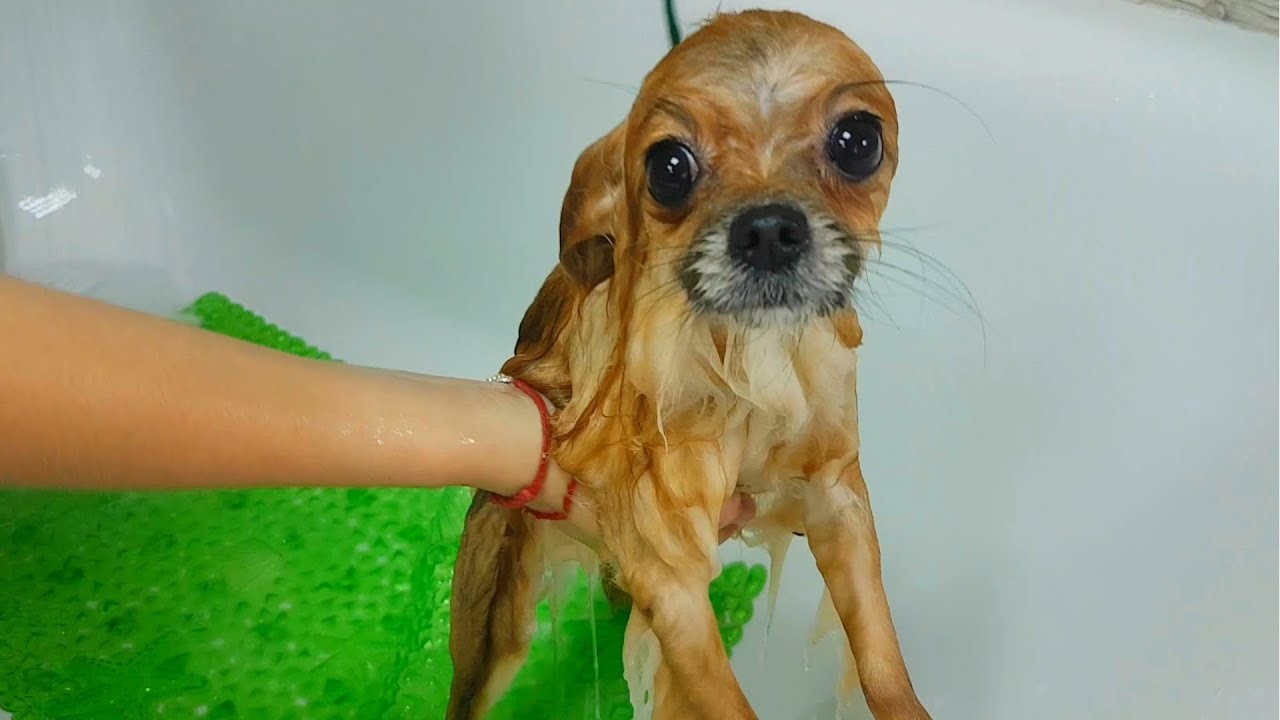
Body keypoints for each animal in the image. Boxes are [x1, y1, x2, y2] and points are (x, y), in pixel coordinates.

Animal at [450, 11, 931, 717]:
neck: (749, 357)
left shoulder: (837, 497)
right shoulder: (671, 573)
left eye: (858, 141)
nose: (769, 229)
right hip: (494, 629)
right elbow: (725, 699)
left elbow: (882, 655)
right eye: (669, 166)